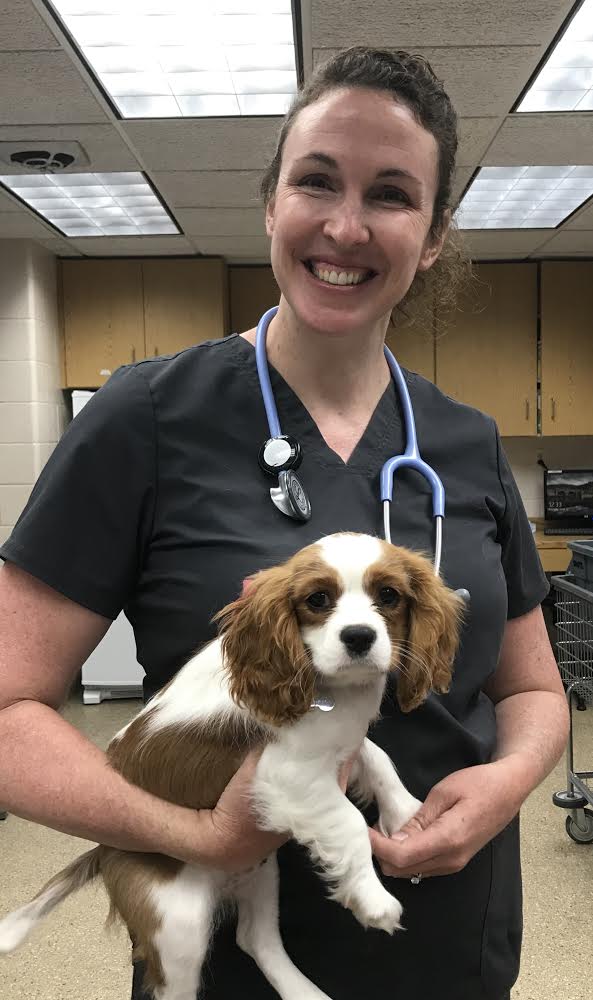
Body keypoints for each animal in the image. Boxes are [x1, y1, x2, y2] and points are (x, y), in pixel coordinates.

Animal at [0, 536, 462, 996]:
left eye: (389, 595)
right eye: (317, 599)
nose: (359, 636)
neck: (330, 688)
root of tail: (105, 848)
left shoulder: (339, 742)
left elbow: (376, 757)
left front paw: (404, 812)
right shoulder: (284, 774)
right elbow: (348, 820)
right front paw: (373, 899)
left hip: (261, 872)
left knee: (254, 940)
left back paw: (304, 991)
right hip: (177, 920)